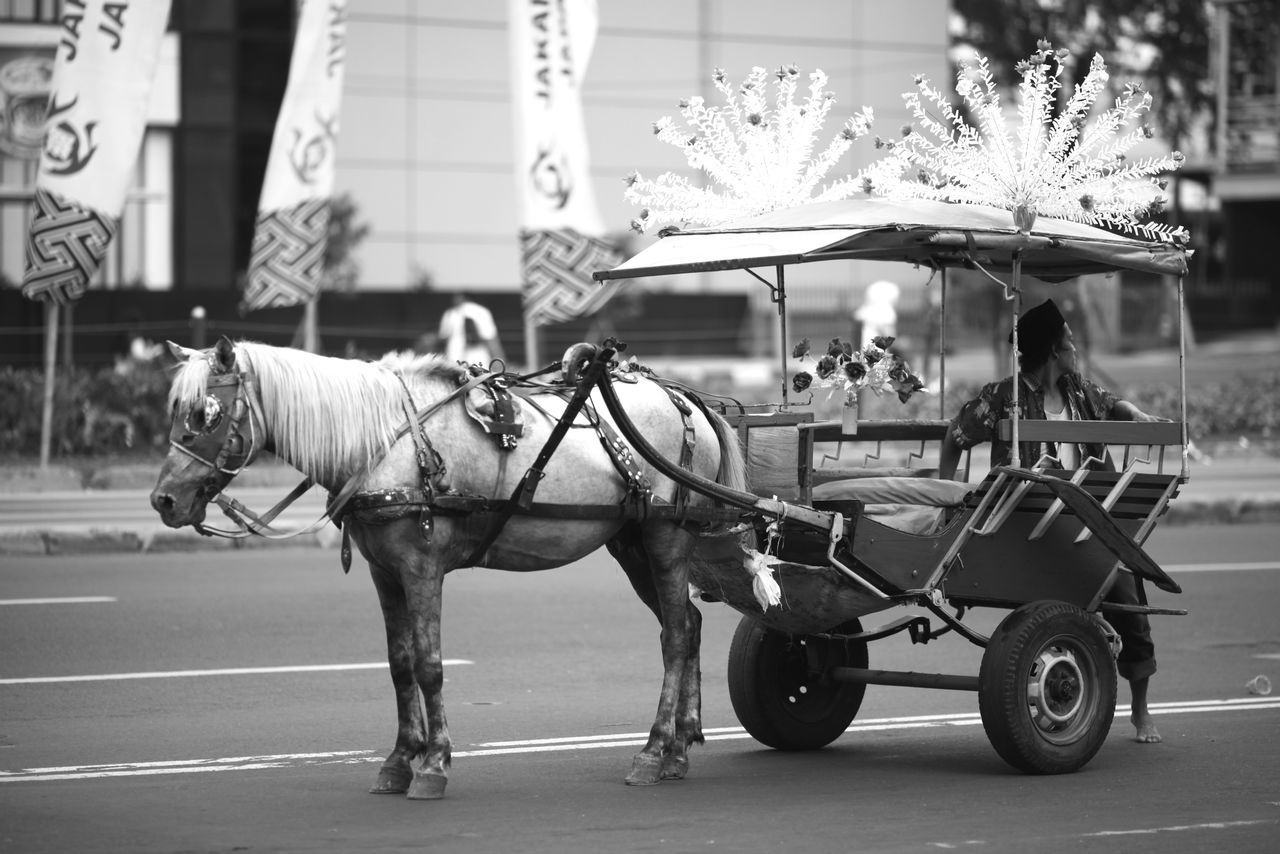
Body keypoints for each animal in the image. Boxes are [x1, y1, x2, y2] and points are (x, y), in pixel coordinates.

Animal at [149, 335, 747, 804]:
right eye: (174, 410)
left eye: (205, 413)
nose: (163, 501)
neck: (385, 441)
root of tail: (682, 397)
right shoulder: (384, 573)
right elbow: (399, 666)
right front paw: (398, 760)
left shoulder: (421, 567)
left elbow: (429, 665)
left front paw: (433, 764)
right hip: (630, 546)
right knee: (688, 625)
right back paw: (678, 747)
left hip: (666, 539)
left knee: (674, 637)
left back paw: (652, 750)